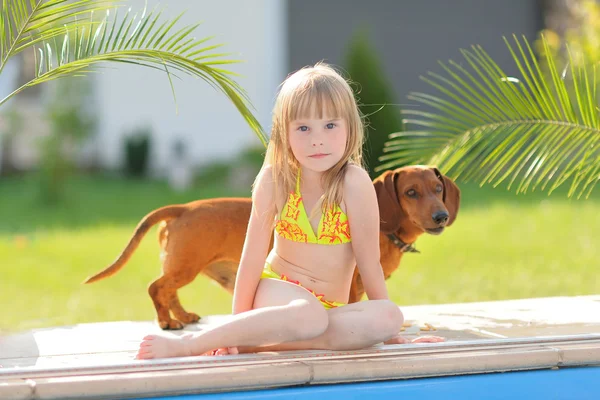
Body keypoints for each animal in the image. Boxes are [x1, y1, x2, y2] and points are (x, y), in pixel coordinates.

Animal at [84, 165, 460, 328]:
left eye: (438, 189)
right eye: (410, 192)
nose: (442, 217)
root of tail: (185, 208)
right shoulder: (354, 285)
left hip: (185, 267)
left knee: (168, 290)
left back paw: (183, 316)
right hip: (185, 266)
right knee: (156, 287)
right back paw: (166, 322)